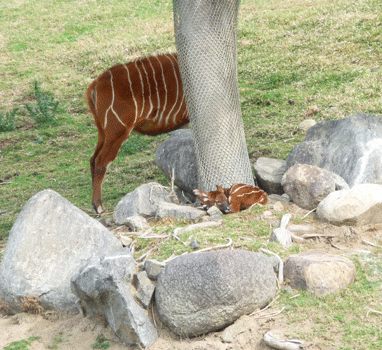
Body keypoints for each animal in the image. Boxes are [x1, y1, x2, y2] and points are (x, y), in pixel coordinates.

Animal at [86, 53, 189, 212]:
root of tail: (95, 85)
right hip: (118, 131)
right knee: (100, 162)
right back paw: (99, 206)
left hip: (102, 132)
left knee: (93, 159)